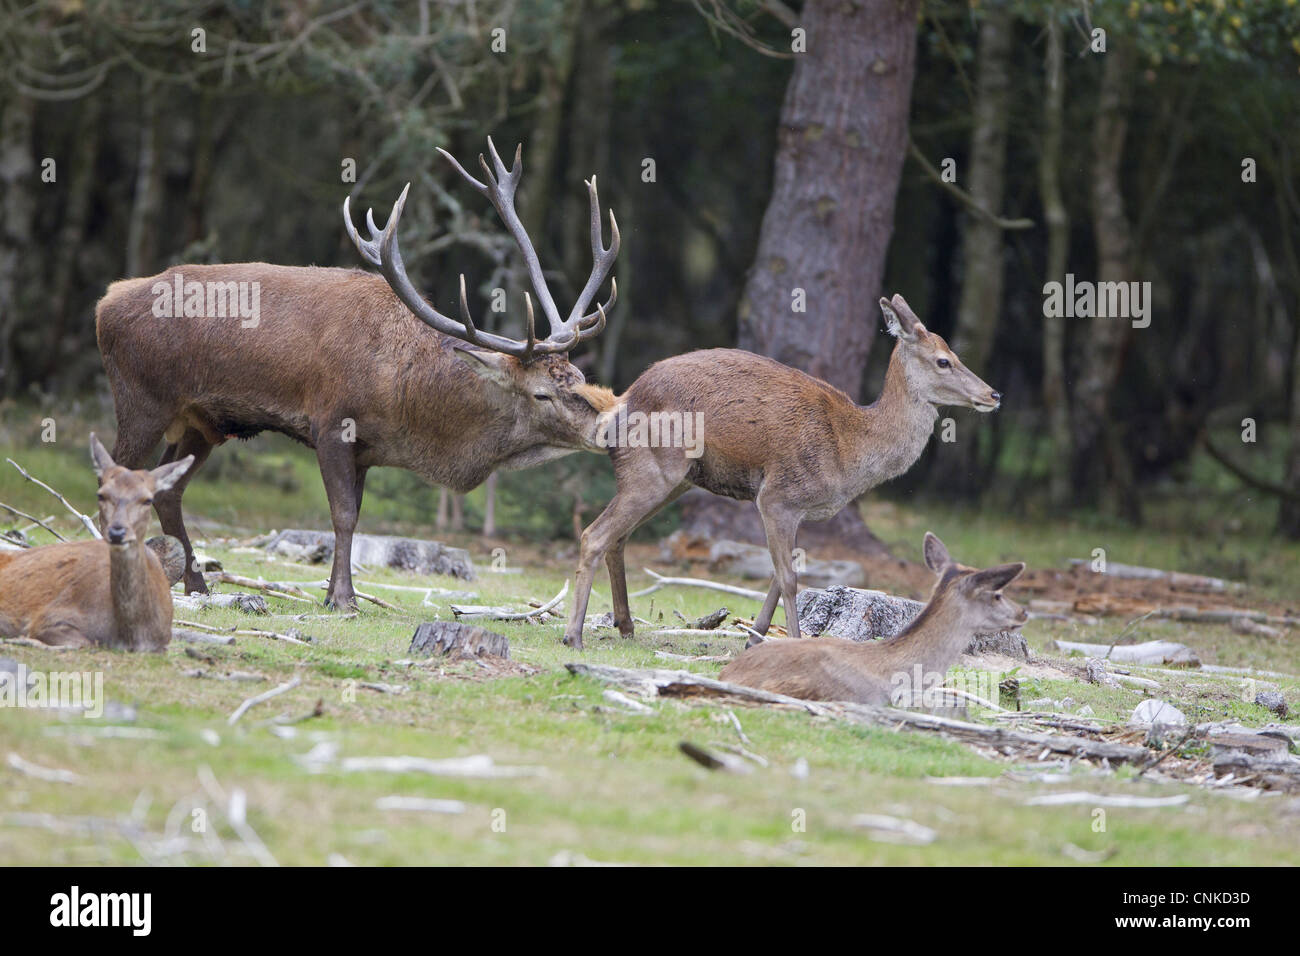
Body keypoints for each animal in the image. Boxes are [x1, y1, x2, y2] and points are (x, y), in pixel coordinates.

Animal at [0, 435, 193, 651]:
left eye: (147, 499)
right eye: (101, 494)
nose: (117, 532)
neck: (134, 634)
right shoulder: (49, 617)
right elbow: (84, 642)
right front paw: (21, 639)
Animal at [95, 139, 618, 609]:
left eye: (576, 376)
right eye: (541, 394)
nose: (609, 429)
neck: (405, 398)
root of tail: (106, 302)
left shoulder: (366, 449)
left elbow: (357, 515)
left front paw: (332, 592)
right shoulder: (330, 422)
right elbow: (343, 515)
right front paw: (344, 599)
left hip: (203, 421)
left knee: (168, 490)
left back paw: (197, 584)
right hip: (141, 398)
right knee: (116, 477)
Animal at [563, 294, 1001, 649]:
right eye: (944, 361)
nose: (993, 394)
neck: (850, 451)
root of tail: (620, 402)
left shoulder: (798, 509)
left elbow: (778, 573)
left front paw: (754, 637)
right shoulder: (778, 496)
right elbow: (789, 578)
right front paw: (792, 642)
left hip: (676, 481)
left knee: (618, 538)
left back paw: (625, 626)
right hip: (653, 470)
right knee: (593, 535)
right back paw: (574, 636)